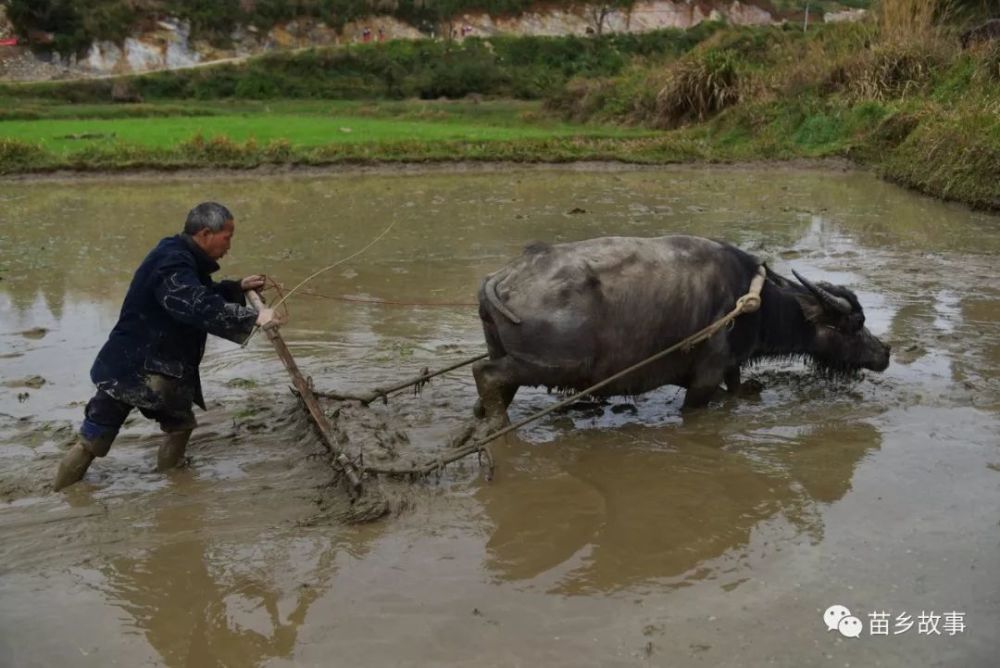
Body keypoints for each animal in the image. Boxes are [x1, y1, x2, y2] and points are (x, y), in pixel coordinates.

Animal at [474, 235, 892, 422]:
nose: (885, 353)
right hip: (555, 364)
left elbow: (737, 388)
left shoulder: (729, 365)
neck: (752, 304)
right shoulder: (705, 376)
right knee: (486, 374)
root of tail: (499, 279)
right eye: (854, 324)